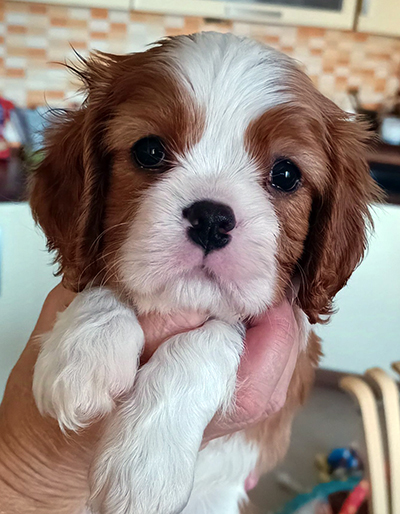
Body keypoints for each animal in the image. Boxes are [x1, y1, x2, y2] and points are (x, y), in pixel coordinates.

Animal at [30, 32, 378, 514]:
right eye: (149, 151)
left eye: (286, 174)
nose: (211, 219)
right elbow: (104, 284)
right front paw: (82, 354)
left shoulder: (294, 347)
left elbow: (209, 339)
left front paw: (147, 465)